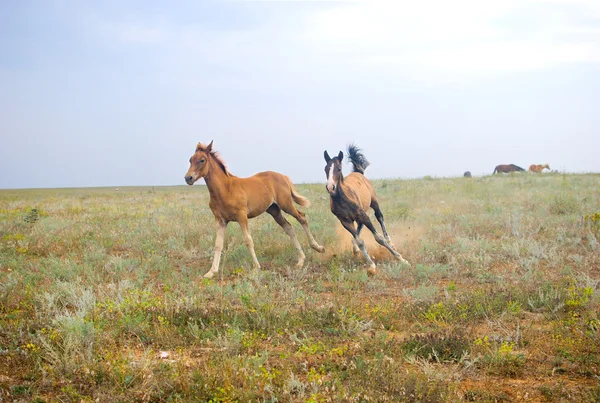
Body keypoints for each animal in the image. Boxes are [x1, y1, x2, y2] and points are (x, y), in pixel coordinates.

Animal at [184, 141, 324, 278]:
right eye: (190, 160)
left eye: (202, 160)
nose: (188, 178)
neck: (225, 189)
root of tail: (284, 177)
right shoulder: (220, 220)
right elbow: (218, 244)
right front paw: (211, 271)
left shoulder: (242, 216)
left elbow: (248, 240)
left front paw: (256, 267)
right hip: (274, 210)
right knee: (288, 227)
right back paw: (301, 260)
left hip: (286, 204)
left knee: (302, 217)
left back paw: (318, 248)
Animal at [324, 144, 408, 276]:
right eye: (326, 169)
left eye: (338, 169)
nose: (330, 187)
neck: (342, 199)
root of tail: (359, 173)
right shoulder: (345, 221)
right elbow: (360, 241)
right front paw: (371, 265)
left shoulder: (363, 215)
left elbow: (379, 238)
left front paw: (401, 258)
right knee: (359, 227)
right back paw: (355, 248)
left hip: (373, 202)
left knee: (379, 217)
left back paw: (390, 242)